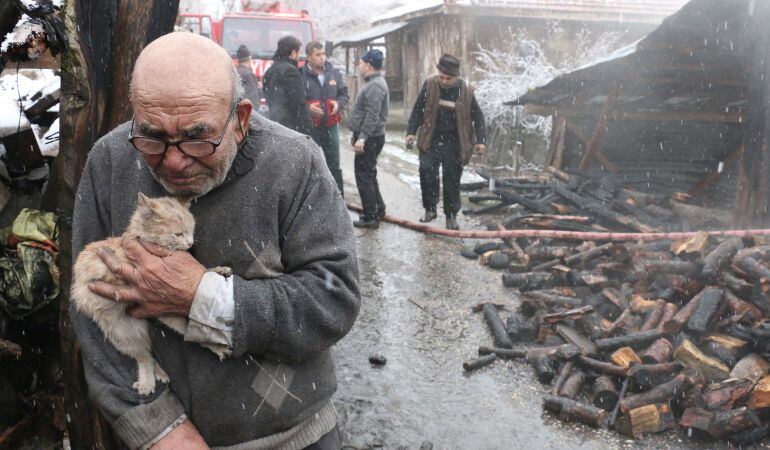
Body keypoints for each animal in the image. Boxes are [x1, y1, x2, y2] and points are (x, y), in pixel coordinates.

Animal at [73, 193, 230, 394]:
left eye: (191, 230)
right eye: (178, 234)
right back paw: (147, 382)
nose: (190, 243)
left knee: (177, 338)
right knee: (144, 356)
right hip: (123, 334)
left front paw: (217, 270)